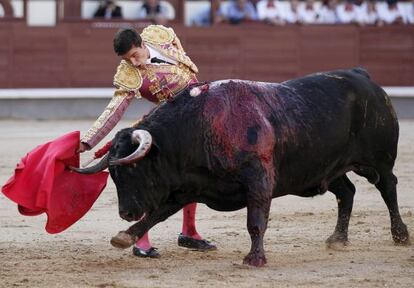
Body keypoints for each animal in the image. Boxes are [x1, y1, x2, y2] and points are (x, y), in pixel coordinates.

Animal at [87, 68, 410, 266]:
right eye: (112, 174)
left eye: (133, 169)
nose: (125, 212)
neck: (197, 128)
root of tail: (362, 76)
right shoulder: (185, 187)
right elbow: (156, 215)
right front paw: (124, 236)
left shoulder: (259, 179)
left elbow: (255, 221)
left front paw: (255, 259)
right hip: (326, 168)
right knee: (347, 192)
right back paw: (338, 239)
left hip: (378, 159)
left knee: (388, 187)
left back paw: (400, 235)